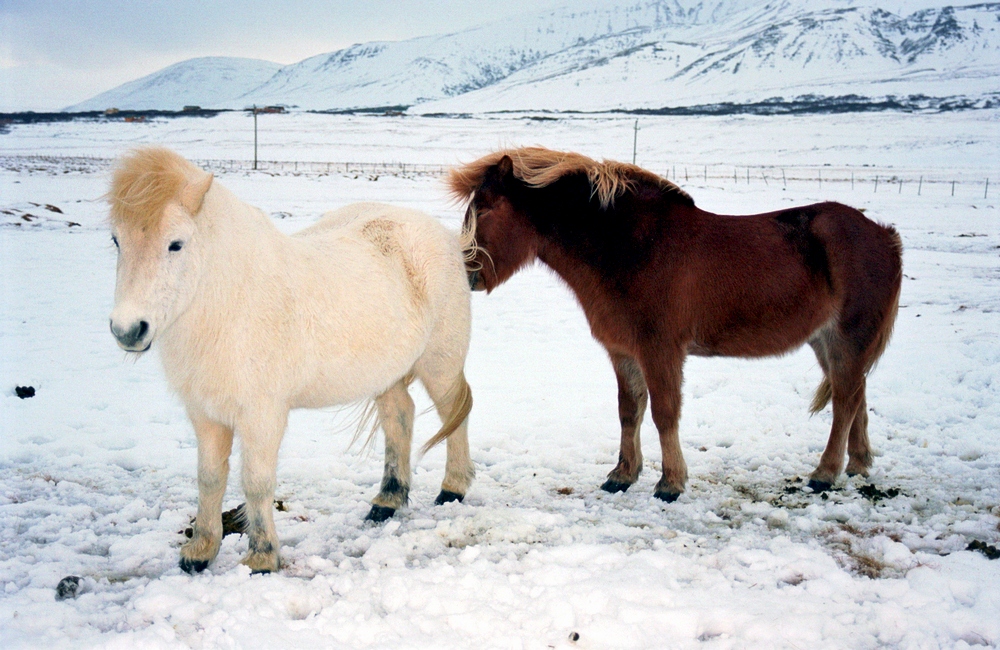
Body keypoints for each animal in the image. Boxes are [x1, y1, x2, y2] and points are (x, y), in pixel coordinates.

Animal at [107, 148, 474, 572]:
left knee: (453, 414)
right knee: (400, 417)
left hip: (440, 364)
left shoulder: (262, 414)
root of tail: (445, 235)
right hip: (388, 374)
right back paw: (387, 501)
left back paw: (453, 489)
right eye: (116, 240)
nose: (128, 330)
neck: (229, 302)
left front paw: (262, 557)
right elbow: (209, 478)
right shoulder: (205, 413)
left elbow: (256, 481)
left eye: (176, 244)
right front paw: (200, 551)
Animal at [450, 148, 904, 502]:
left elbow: (665, 412)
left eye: (485, 208)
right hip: (826, 341)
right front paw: (622, 475)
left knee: (844, 401)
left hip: (847, 337)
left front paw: (670, 483)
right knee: (855, 395)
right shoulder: (623, 352)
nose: (465, 275)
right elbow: (629, 410)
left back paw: (824, 474)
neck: (630, 246)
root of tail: (884, 234)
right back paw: (857, 465)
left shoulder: (660, 350)